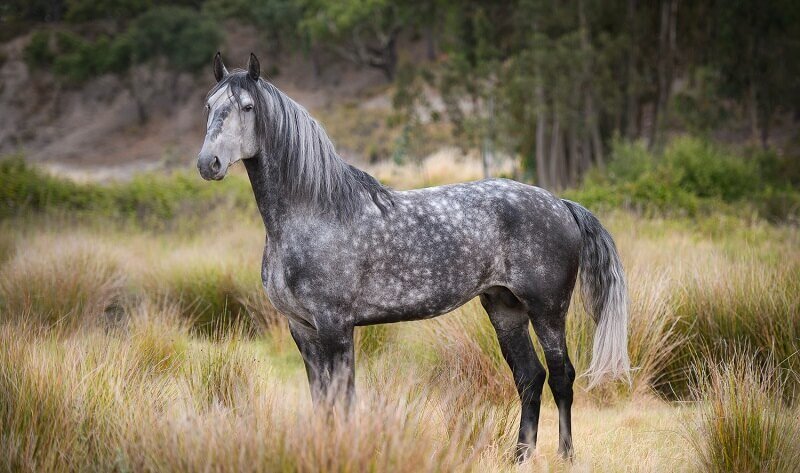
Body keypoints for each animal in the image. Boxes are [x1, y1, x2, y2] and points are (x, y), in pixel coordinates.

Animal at [197, 52, 628, 460]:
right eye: (209, 105)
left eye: (247, 107)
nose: (208, 164)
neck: (316, 212)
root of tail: (561, 204)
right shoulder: (302, 329)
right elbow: (323, 402)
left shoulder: (336, 327)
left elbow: (345, 400)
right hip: (505, 309)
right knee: (529, 377)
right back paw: (520, 456)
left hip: (548, 311)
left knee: (561, 376)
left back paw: (565, 455)